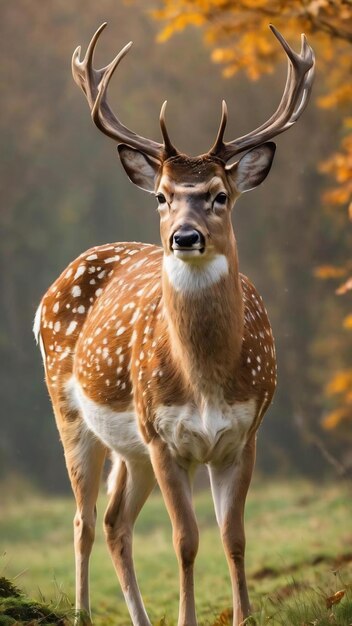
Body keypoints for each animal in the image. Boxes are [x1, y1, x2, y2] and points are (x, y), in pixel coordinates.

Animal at [33, 23, 314, 624]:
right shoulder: (164, 437)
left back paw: (137, 617)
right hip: (72, 410)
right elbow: (185, 540)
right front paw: (187, 617)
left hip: (131, 447)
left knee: (114, 521)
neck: (205, 382)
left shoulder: (246, 432)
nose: (185, 236)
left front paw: (244, 616)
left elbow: (234, 537)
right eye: (162, 196)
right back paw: (82, 612)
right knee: (83, 519)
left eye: (220, 195)